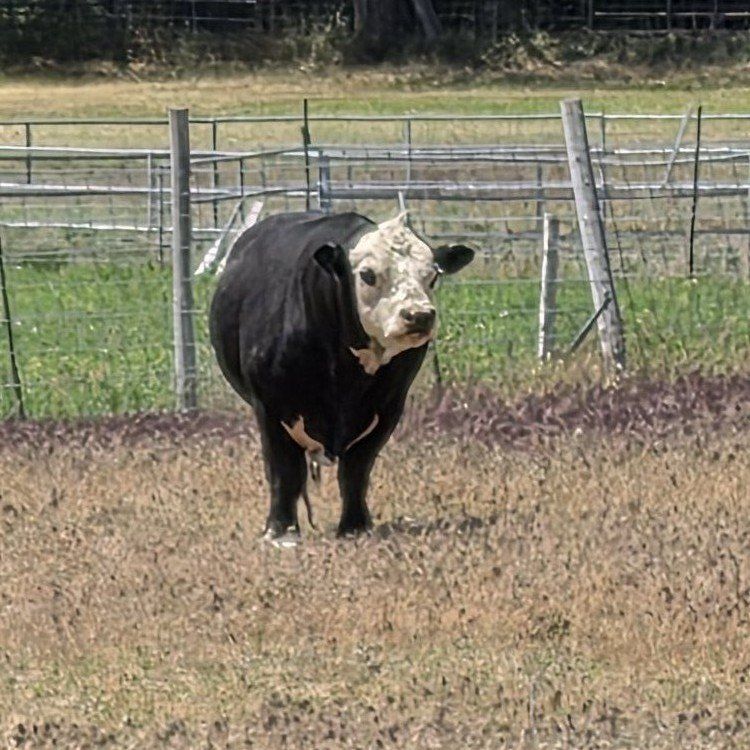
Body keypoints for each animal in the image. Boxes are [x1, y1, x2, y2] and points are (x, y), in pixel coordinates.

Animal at [209, 210, 474, 542]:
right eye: (368, 275)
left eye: (432, 276)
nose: (419, 315)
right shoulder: (268, 407)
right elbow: (284, 471)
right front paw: (281, 531)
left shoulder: (388, 409)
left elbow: (356, 471)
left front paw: (355, 526)